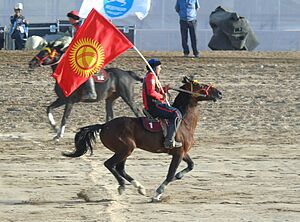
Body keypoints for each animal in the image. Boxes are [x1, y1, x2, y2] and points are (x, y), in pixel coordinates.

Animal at [62, 77, 223, 201]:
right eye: (200, 85)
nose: (219, 93)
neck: (184, 122)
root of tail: (105, 125)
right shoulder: (178, 153)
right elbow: (170, 174)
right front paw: (157, 194)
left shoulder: (182, 152)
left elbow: (190, 165)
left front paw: (178, 175)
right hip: (125, 149)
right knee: (110, 164)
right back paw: (122, 186)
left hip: (125, 151)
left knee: (120, 168)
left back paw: (139, 187)